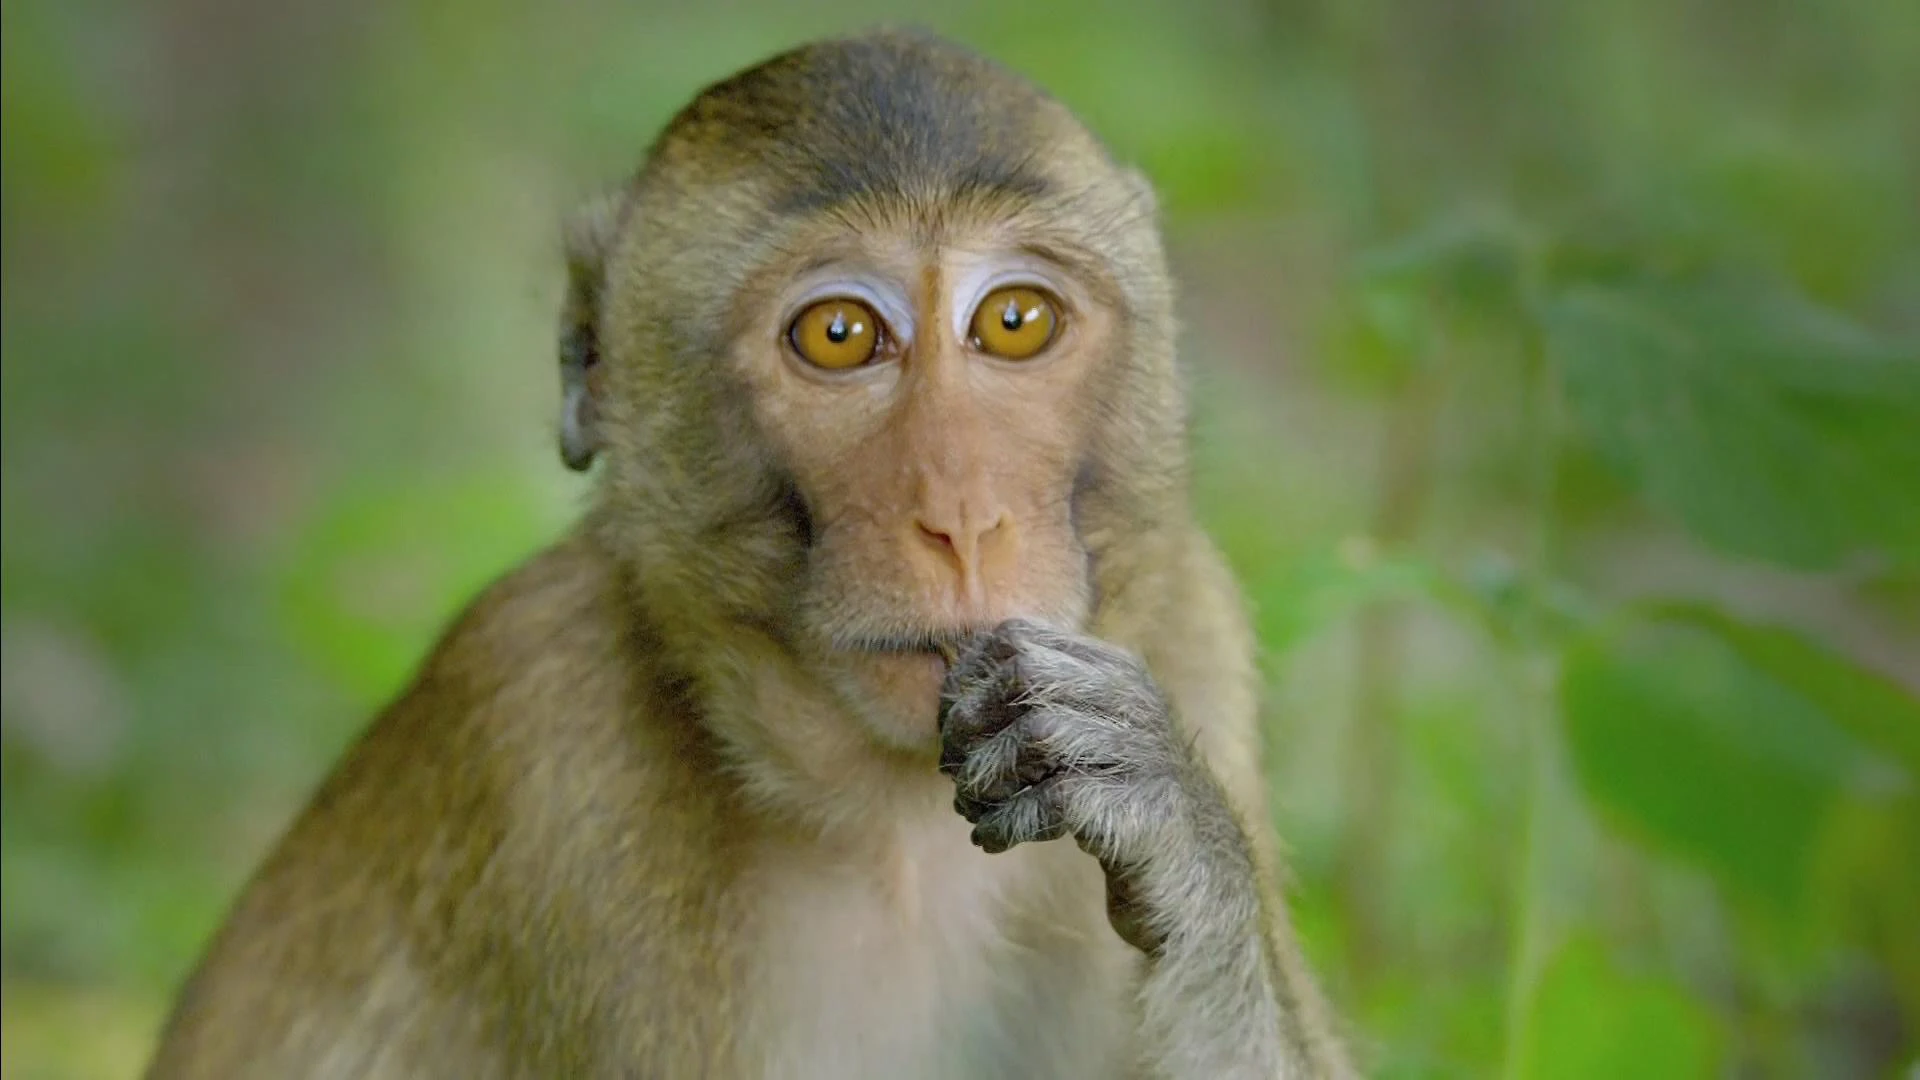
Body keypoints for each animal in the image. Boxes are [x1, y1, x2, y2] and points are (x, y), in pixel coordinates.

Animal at [142, 25, 1359, 1076]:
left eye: (1015, 322)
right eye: (840, 334)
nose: (962, 517)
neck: (897, 834)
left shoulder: (1190, 624)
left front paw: (1171, 824)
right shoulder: (545, 738)